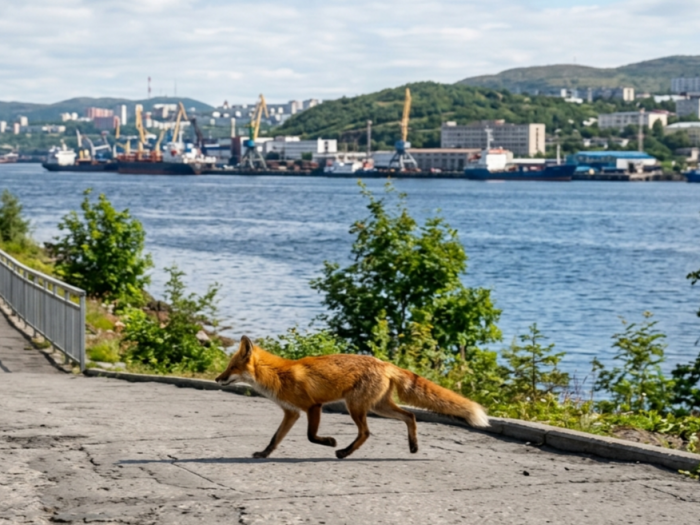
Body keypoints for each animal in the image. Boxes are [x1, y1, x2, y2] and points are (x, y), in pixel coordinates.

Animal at [215, 336, 490, 459]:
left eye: (231, 368)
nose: (218, 379)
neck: (278, 375)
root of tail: (384, 363)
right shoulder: (291, 413)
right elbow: (275, 438)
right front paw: (264, 454)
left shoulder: (313, 407)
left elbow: (311, 436)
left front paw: (329, 442)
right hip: (378, 406)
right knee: (410, 416)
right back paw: (413, 446)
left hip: (355, 406)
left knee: (366, 433)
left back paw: (344, 452)